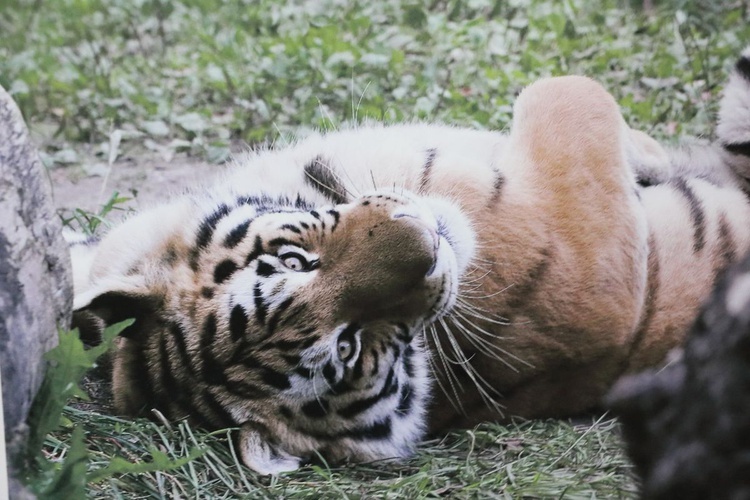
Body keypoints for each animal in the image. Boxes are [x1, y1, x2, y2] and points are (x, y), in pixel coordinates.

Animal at [70, 48, 750, 474]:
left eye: (294, 260)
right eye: (349, 347)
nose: (425, 242)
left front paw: (653, 153)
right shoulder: (591, 256)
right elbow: (568, 92)